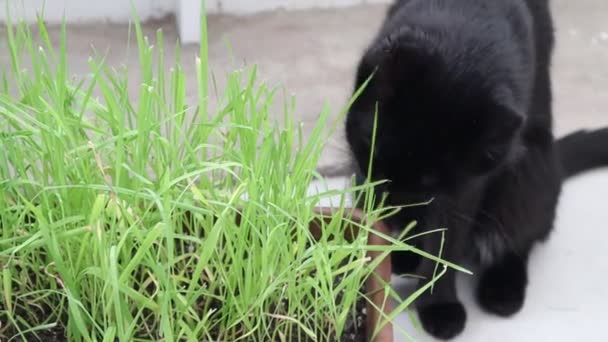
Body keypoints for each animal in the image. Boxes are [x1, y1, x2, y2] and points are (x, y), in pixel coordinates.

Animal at [346, 0, 608, 340]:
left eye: (430, 180)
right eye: (372, 148)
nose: (397, 209)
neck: (462, 32)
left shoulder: (464, 189)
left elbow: (446, 244)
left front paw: (439, 306)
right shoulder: (362, 175)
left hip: (529, 174)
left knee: (520, 236)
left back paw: (503, 289)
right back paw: (405, 256)